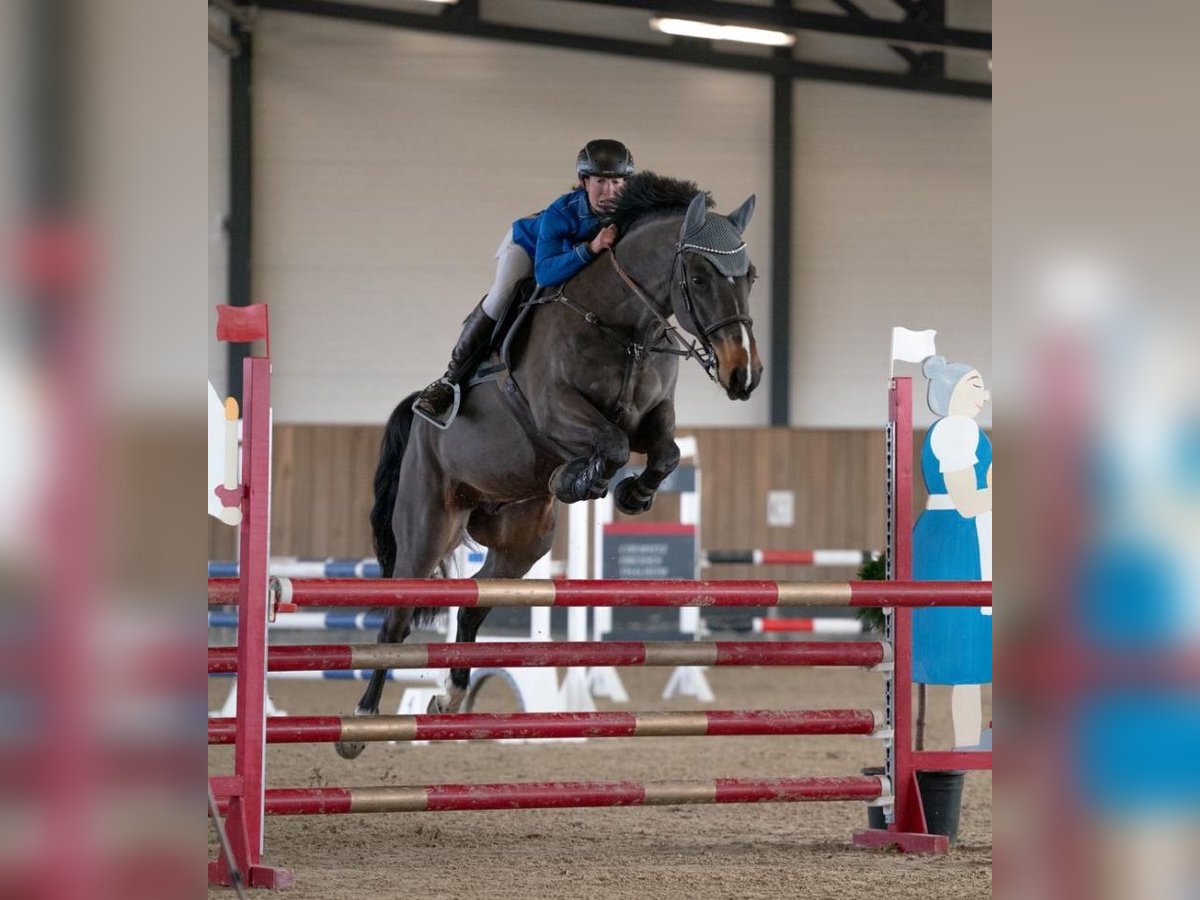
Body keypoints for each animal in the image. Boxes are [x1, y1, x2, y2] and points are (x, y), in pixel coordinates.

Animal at [333, 174, 763, 763]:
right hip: (426, 528)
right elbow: (610, 443)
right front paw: (579, 478)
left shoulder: (653, 417)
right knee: (397, 619)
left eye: (751, 276)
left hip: (522, 540)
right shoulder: (554, 411)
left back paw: (450, 697)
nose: (745, 375)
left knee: (472, 606)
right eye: (698, 275)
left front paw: (628, 494)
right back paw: (361, 722)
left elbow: (665, 453)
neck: (623, 324)